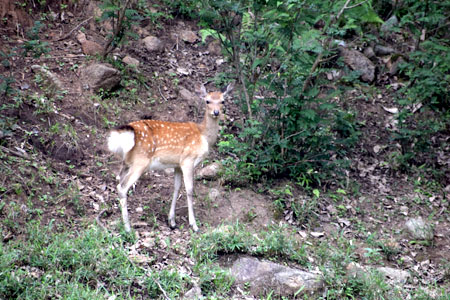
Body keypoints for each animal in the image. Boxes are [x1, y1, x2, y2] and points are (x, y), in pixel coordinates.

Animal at [105, 83, 232, 233]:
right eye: (207, 101)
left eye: (223, 101)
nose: (216, 112)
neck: (204, 136)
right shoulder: (188, 160)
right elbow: (189, 190)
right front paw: (194, 225)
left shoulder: (177, 164)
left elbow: (176, 188)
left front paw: (172, 221)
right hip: (140, 162)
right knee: (122, 187)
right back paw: (128, 228)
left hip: (127, 162)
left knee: (118, 180)